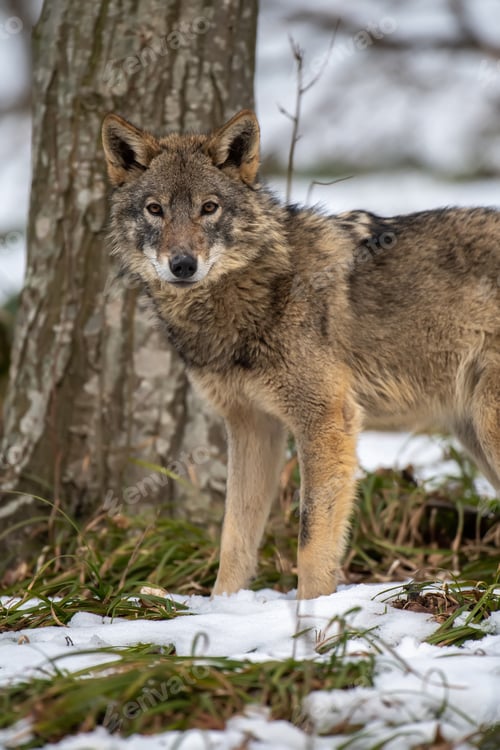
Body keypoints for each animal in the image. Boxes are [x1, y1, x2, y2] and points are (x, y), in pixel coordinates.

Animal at [102, 109, 500, 599]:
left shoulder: (327, 422)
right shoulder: (253, 427)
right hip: (474, 434)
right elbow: (234, 537)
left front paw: (312, 614)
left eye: (209, 208)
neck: (256, 294)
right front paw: (223, 608)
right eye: (154, 209)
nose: (182, 265)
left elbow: (311, 540)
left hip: (487, 427)